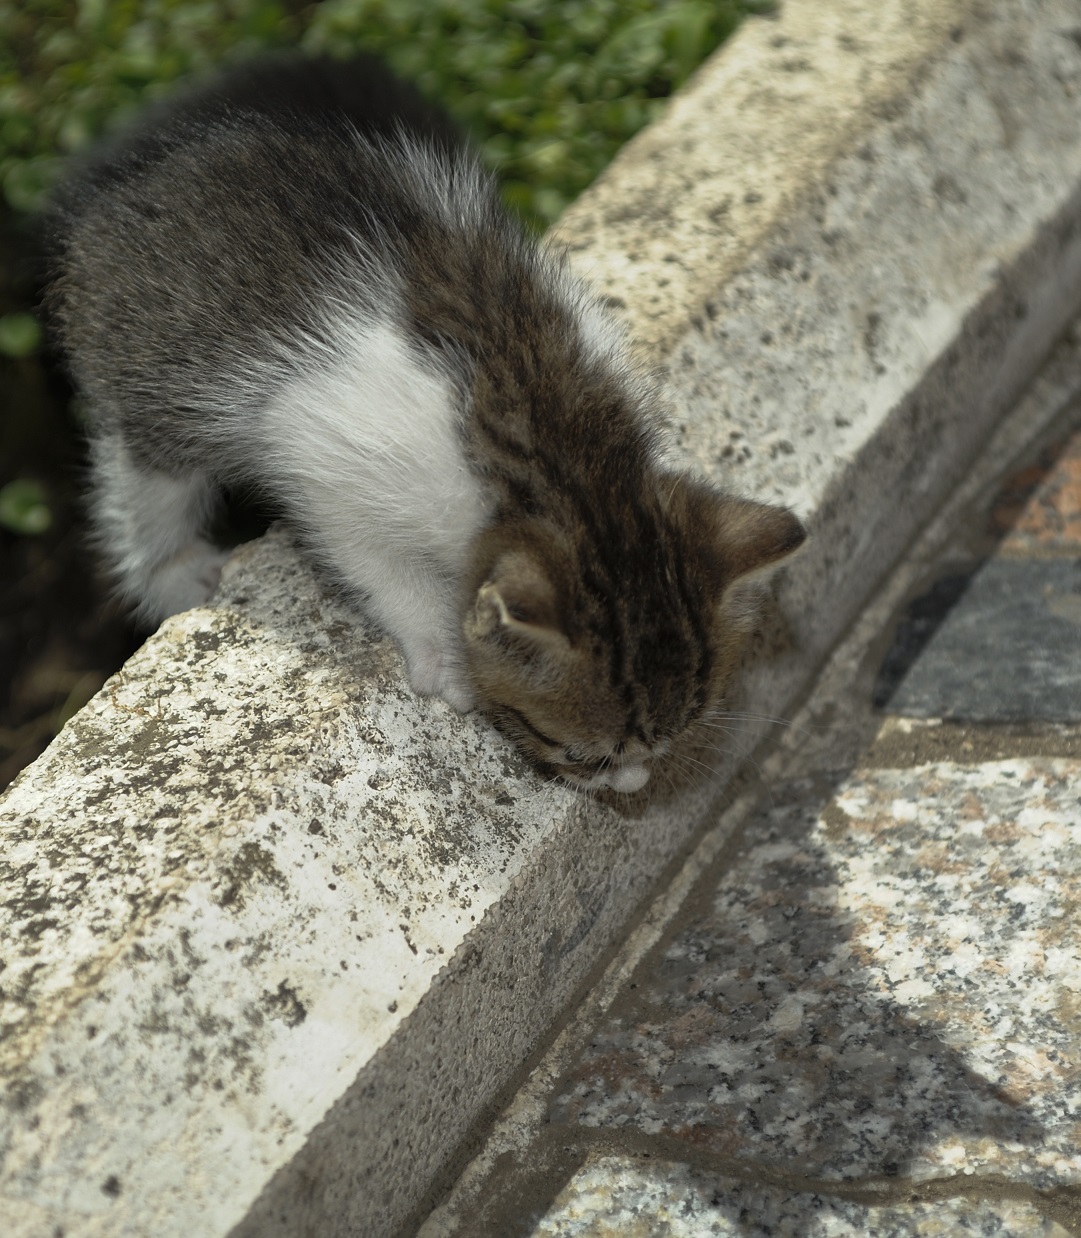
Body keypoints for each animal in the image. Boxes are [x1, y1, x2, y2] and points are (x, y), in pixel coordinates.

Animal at [42, 53, 802, 792]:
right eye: (580, 753)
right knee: (142, 473)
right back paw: (174, 575)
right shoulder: (328, 464)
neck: (564, 456)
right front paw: (444, 652)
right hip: (149, 373)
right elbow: (375, 563)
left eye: (674, 740)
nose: (633, 788)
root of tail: (120, 192)